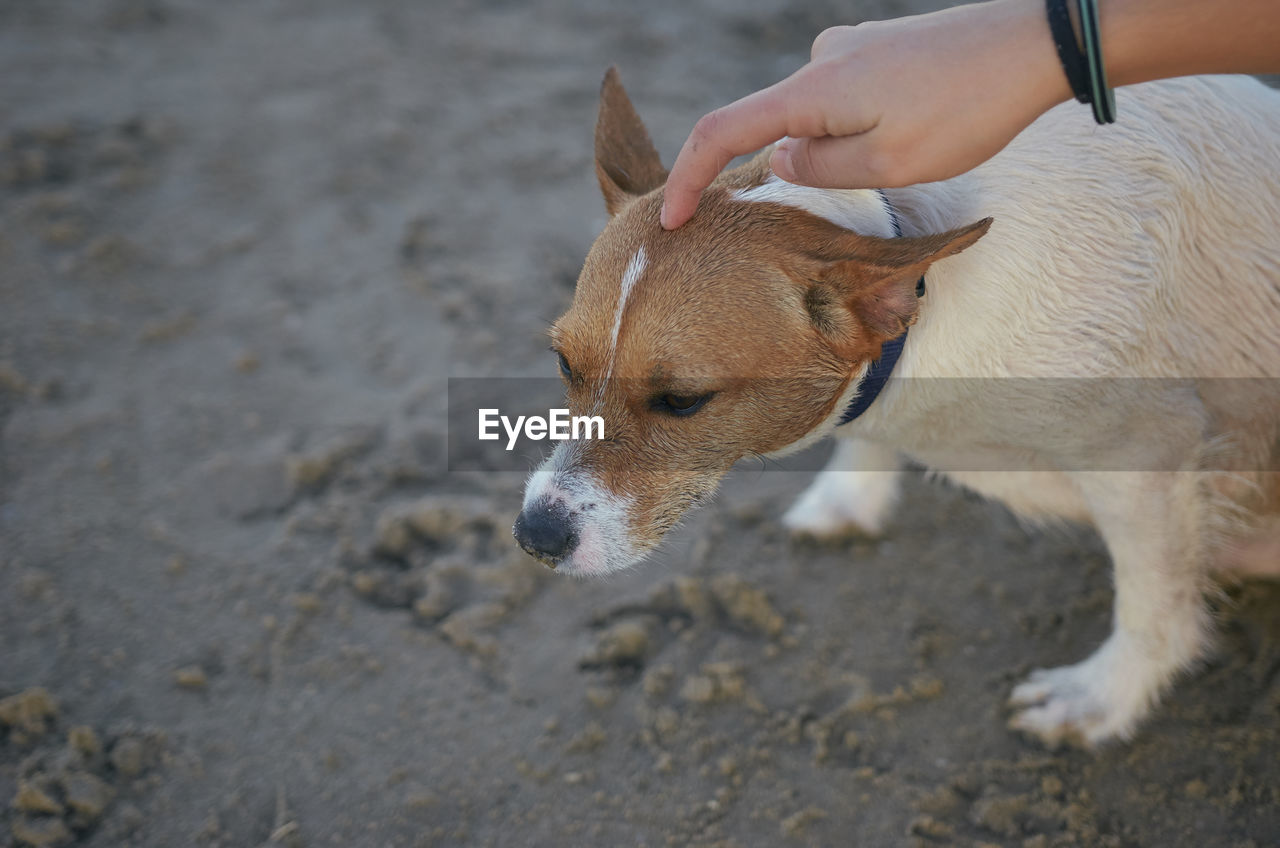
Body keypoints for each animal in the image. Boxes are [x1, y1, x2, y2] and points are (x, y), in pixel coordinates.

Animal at [512, 66, 1280, 748]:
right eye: (564, 363)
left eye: (681, 400)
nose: (533, 538)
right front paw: (850, 494)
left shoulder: (1147, 455)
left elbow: (1154, 605)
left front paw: (1102, 696)